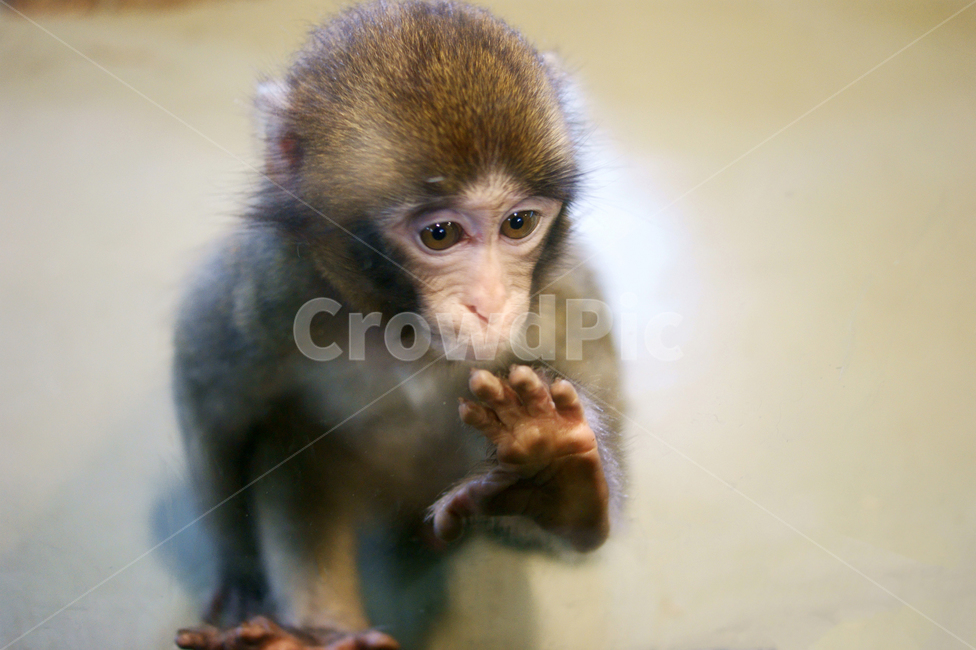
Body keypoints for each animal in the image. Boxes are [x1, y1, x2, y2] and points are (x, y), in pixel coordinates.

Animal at [172, 2, 624, 649]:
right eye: (440, 234)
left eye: (518, 223)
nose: (489, 303)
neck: (402, 331)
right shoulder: (260, 290)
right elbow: (210, 413)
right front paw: (240, 576)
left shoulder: (567, 304)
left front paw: (558, 482)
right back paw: (315, 634)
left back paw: (554, 485)